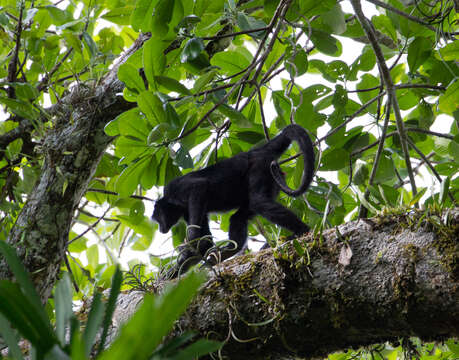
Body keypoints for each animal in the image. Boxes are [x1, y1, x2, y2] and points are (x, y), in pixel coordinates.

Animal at [153, 124, 314, 278]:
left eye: (158, 218)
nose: (161, 228)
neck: (172, 202)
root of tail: (255, 151)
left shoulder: (175, 188)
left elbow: (198, 186)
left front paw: (191, 241)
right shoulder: (188, 212)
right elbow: (205, 243)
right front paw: (169, 276)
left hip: (259, 167)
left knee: (259, 202)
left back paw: (302, 230)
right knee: (238, 217)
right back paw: (227, 252)